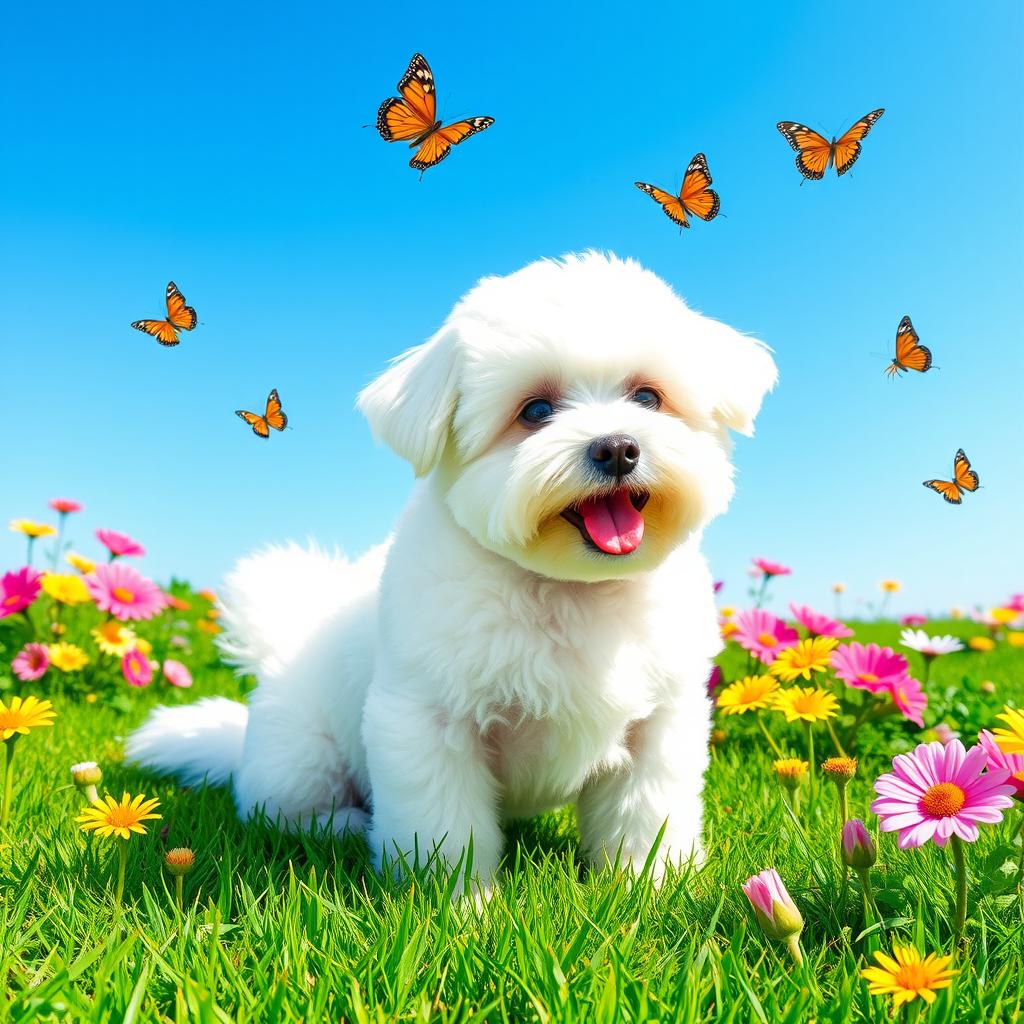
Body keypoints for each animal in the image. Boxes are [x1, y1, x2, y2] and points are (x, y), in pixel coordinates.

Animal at [132, 253, 778, 897]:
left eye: (648, 397)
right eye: (535, 411)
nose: (617, 448)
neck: (572, 592)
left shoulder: (660, 720)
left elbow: (646, 812)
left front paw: (648, 885)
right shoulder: (427, 720)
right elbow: (446, 826)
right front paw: (459, 902)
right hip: (298, 756)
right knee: (278, 811)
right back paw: (343, 825)